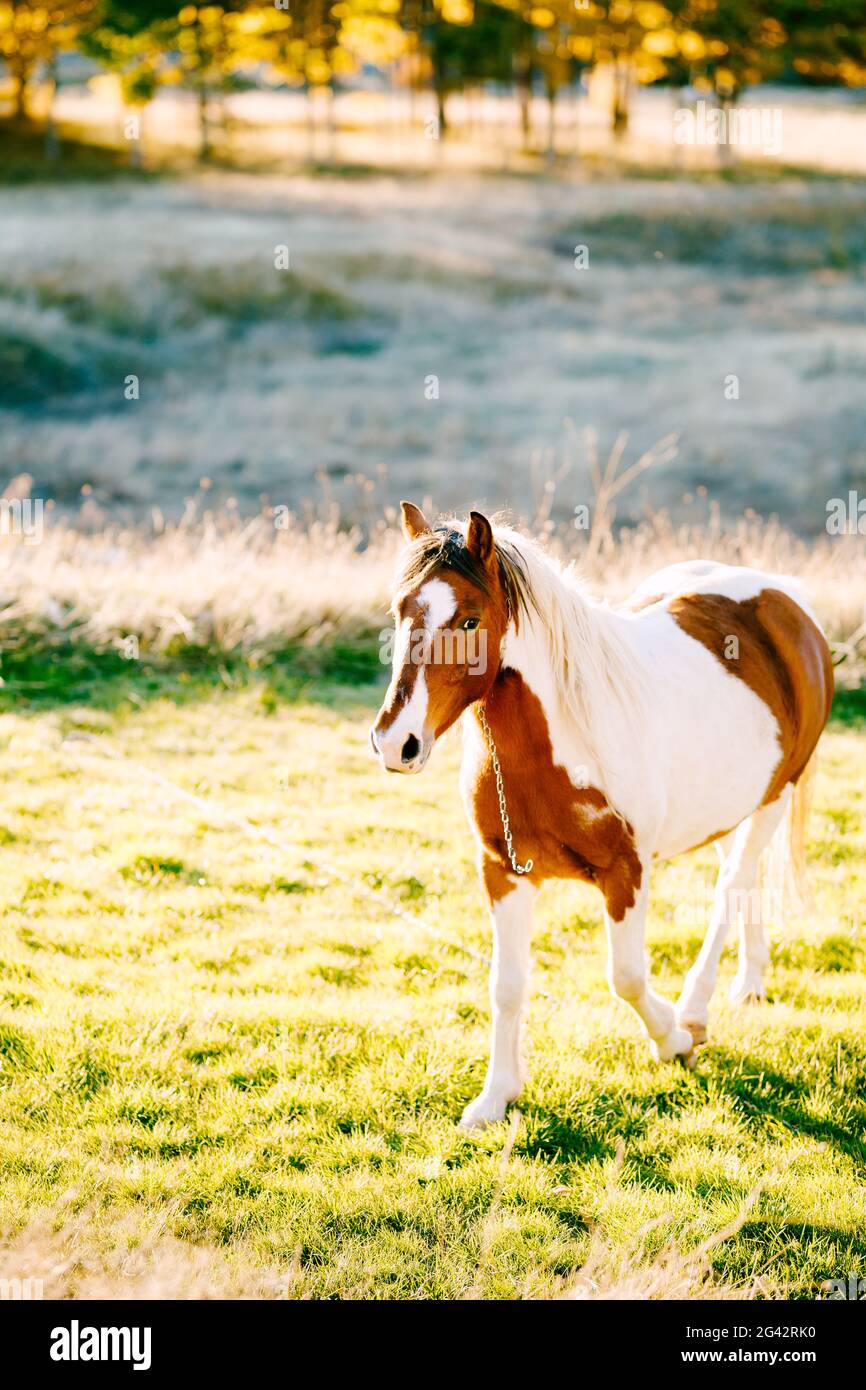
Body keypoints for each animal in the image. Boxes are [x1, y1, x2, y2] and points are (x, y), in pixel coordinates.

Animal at [369, 503, 834, 1128]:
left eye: (468, 622)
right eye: (400, 612)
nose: (396, 743)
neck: (565, 738)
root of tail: (786, 599)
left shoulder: (626, 874)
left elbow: (627, 977)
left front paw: (673, 1040)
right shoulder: (503, 872)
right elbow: (506, 984)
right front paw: (496, 1097)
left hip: (773, 798)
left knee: (731, 885)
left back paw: (695, 1010)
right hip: (726, 808)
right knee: (745, 878)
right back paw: (750, 983)